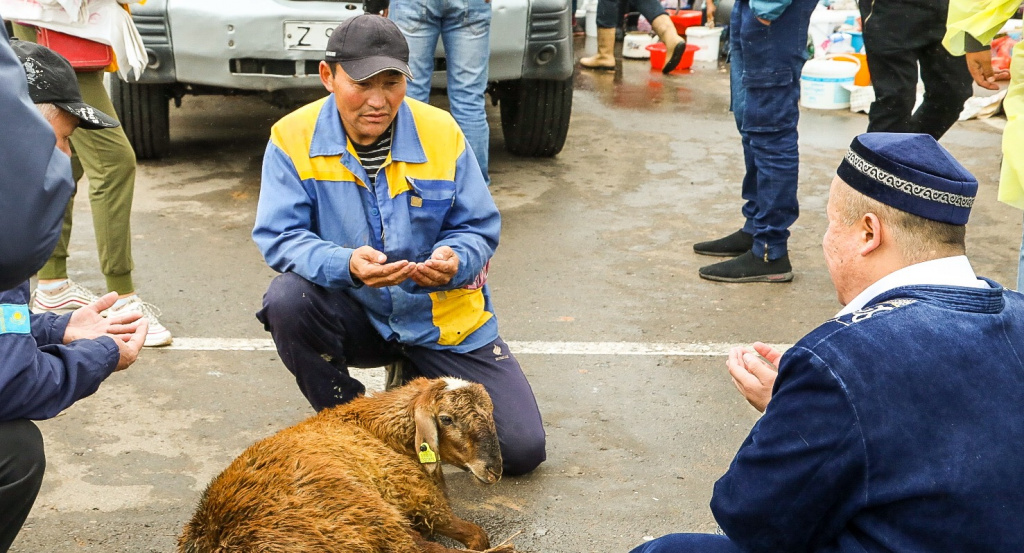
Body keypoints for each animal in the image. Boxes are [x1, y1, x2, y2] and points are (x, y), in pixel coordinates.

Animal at [178, 378, 520, 548]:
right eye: (446, 419)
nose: (494, 470)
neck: (377, 430)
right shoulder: (416, 496)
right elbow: (475, 535)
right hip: (365, 514)